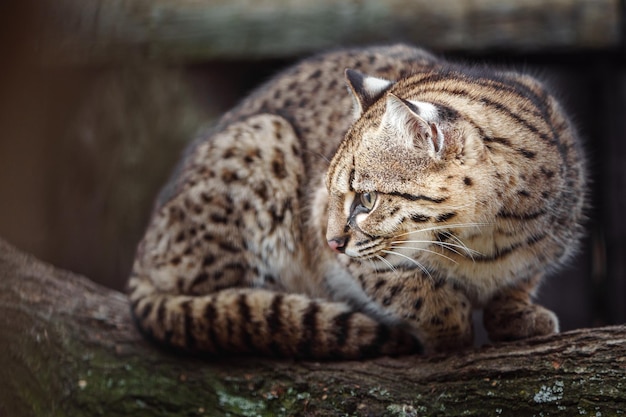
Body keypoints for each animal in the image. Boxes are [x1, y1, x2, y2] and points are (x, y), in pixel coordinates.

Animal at [127, 44, 584, 358]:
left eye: (366, 199)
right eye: (331, 194)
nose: (331, 242)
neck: (482, 237)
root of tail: (142, 253)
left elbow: (519, 280)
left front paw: (516, 314)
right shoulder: (341, 247)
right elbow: (414, 291)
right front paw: (450, 332)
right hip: (264, 139)